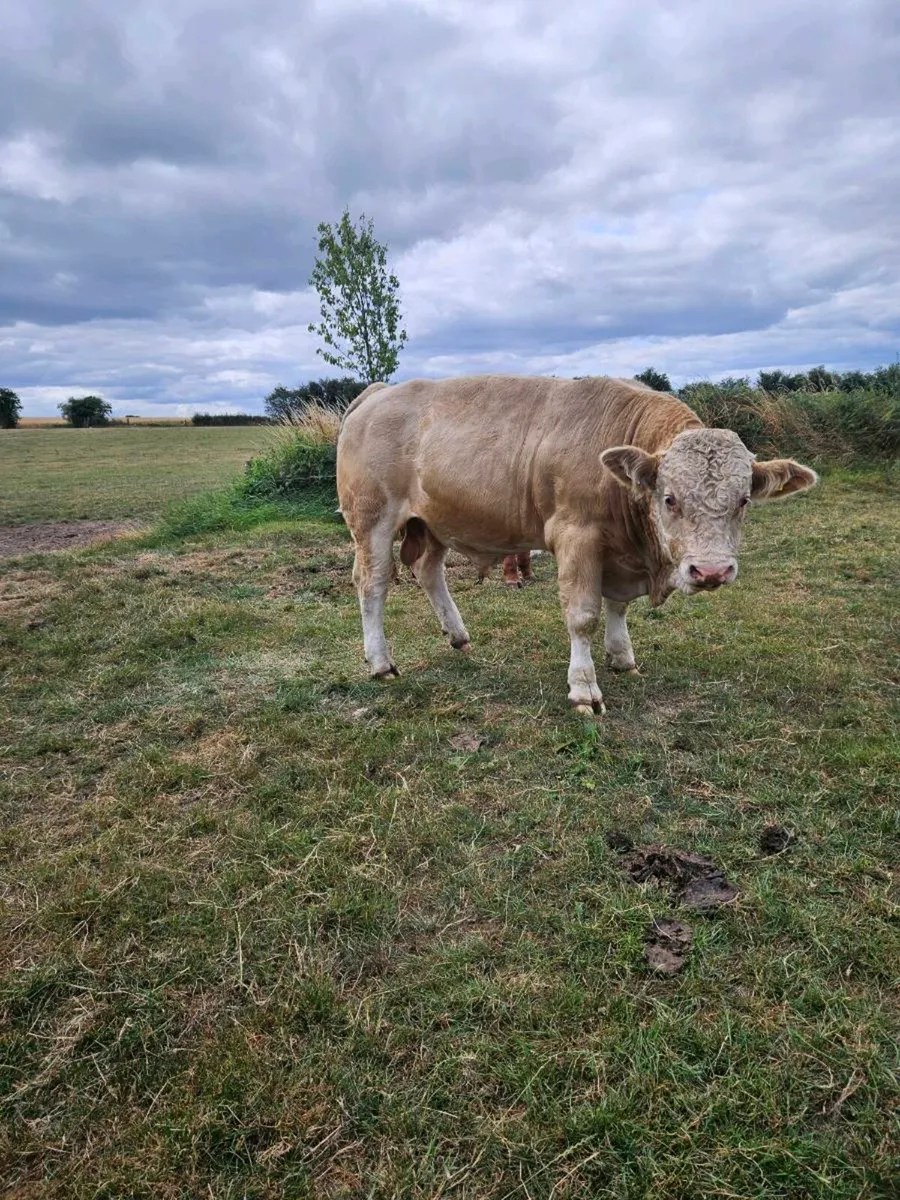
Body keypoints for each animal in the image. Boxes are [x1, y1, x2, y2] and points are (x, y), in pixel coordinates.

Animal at [336, 376, 817, 714]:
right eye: (669, 498)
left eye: (743, 500)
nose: (712, 571)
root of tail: (379, 394)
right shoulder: (576, 537)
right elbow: (583, 615)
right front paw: (584, 687)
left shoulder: (620, 554)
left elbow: (617, 607)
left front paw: (622, 656)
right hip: (372, 519)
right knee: (373, 583)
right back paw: (381, 662)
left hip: (434, 522)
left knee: (427, 570)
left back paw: (458, 636)